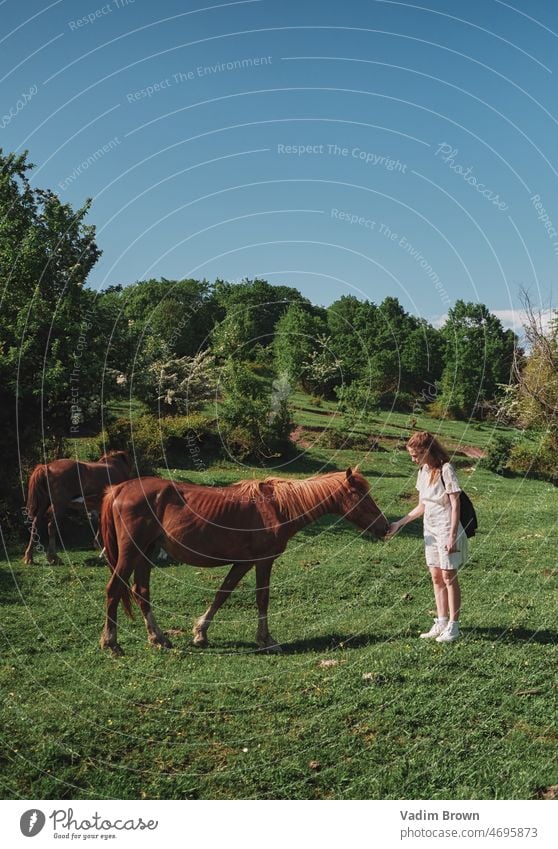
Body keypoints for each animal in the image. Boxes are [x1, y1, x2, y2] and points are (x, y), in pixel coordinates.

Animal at [99, 464, 390, 656]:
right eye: (361, 495)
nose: (384, 527)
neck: (276, 507)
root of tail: (120, 489)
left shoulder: (243, 563)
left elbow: (222, 593)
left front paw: (200, 633)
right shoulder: (263, 561)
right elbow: (262, 598)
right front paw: (266, 640)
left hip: (145, 553)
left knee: (141, 592)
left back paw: (158, 639)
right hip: (131, 553)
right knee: (114, 589)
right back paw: (112, 643)